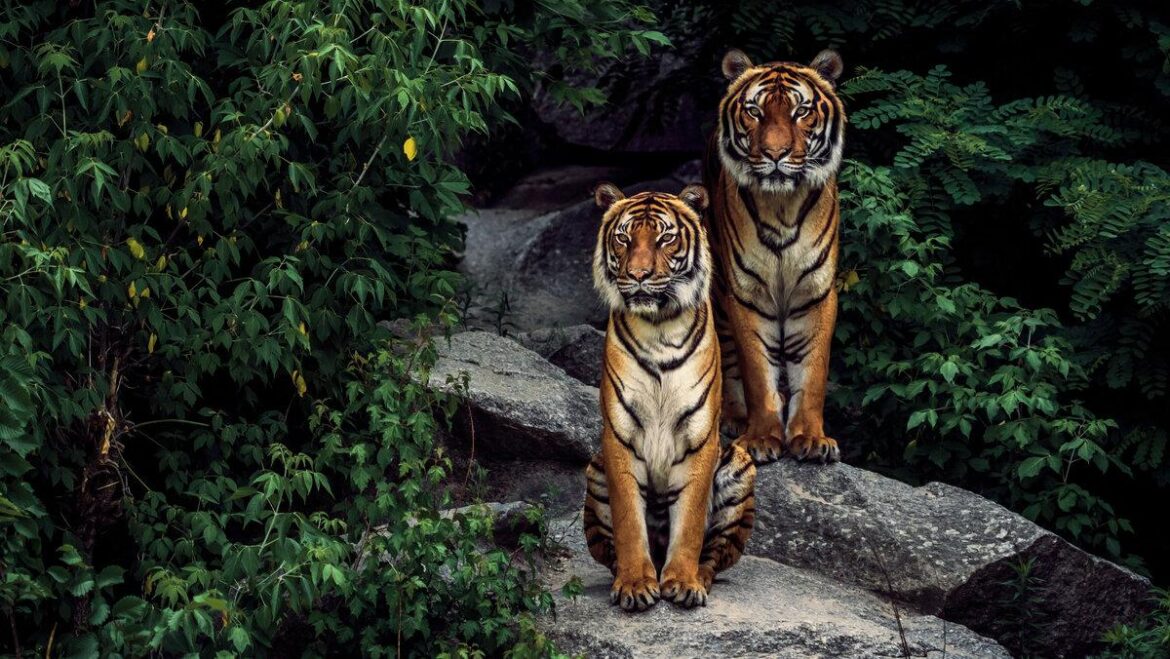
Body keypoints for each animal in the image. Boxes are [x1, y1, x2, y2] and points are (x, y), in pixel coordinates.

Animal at [582, 182, 757, 612]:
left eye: (664, 238)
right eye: (624, 238)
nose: (638, 275)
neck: (658, 328)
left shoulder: (699, 438)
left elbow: (690, 521)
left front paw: (681, 582)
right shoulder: (619, 438)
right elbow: (629, 521)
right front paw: (634, 585)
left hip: (740, 464)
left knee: (714, 558)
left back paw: (698, 579)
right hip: (595, 468)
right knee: (608, 552)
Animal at [703, 48, 847, 465]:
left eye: (801, 112)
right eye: (755, 111)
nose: (775, 154)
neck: (782, 205)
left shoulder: (815, 293)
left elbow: (812, 372)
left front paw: (811, 438)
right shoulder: (747, 295)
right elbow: (756, 370)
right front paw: (761, 438)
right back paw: (733, 418)